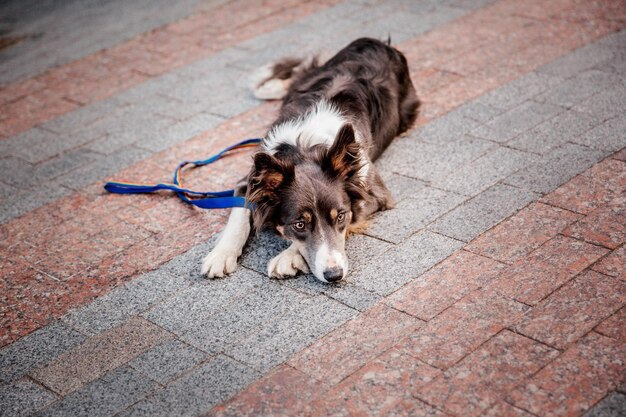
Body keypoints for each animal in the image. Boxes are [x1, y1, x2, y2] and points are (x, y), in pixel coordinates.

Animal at [200, 38, 416, 282]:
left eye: (341, 217)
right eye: (300, 224)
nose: (334, 275)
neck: (304, 149)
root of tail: (377, 42)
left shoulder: (376, 193)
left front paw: (288, 257)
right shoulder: (250, 179)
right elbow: (238, 217)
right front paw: (220, 255)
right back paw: (270, 86)